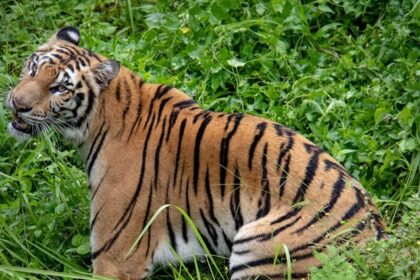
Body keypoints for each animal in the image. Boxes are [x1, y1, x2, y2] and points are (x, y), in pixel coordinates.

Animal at [7, 26, 388, 280]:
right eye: (32, 67)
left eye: (59, 88)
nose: (16, 104)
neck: (98, 119)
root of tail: (381, 242)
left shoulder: (115, 257)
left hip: (258, 247)